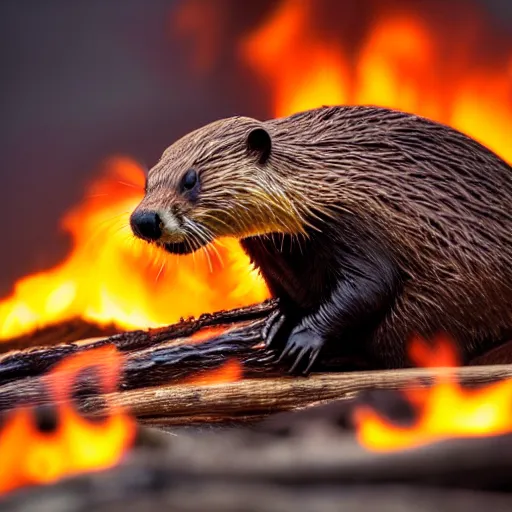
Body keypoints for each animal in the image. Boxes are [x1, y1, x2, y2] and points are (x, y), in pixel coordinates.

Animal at [129, 106, 512, 374]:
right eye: (148, 180)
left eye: (190, 179)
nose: (143, 220)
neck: (318, 177)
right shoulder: (270, 251)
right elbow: (286, 294)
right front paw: (274, 326)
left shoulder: (355, 224)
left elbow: (369, 286)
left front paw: (301, 342)